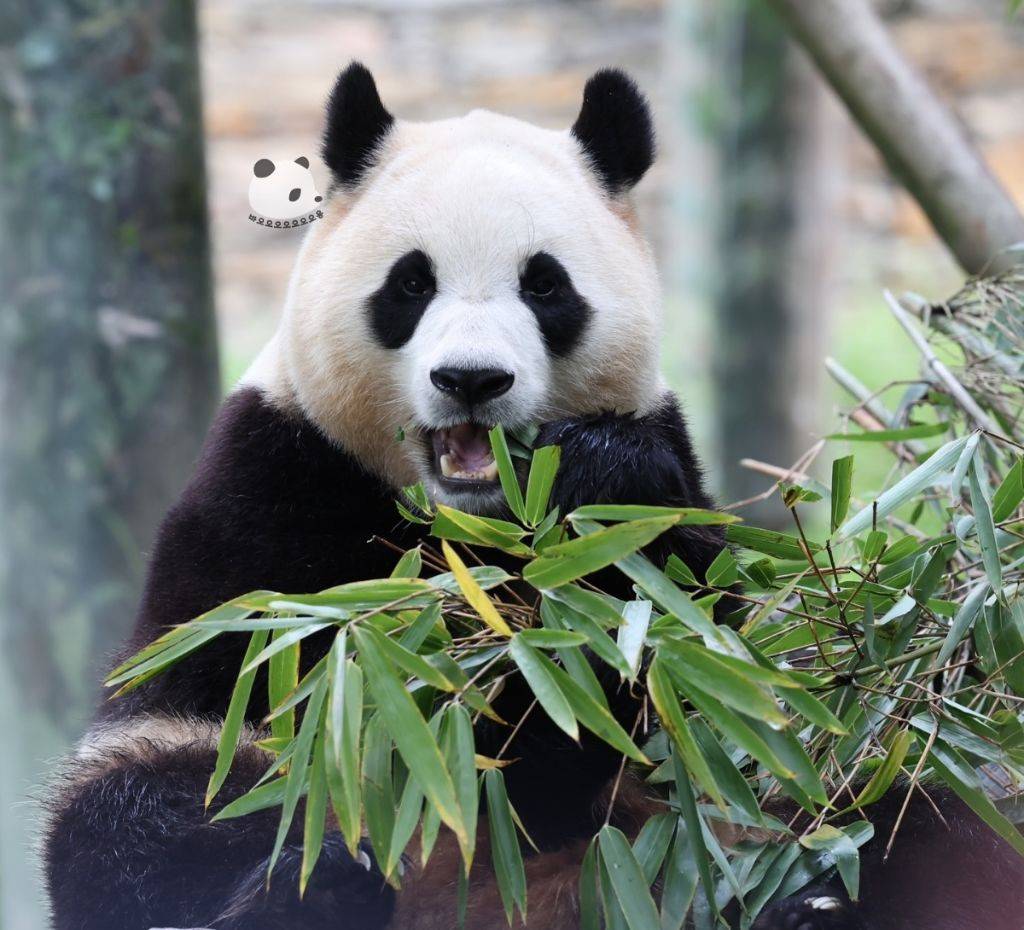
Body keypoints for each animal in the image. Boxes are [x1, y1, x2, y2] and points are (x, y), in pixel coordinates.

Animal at [41, 61, 1024, 925]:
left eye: (544, 285)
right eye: (411, 283)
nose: (471, 379)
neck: (464, 532)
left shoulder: (678, 500)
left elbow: (702, 688)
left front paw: (600, 478)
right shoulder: (268, 494)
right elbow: (188, 754)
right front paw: (308, 872)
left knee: (907, 803)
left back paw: (808, 908)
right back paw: (308, 897)